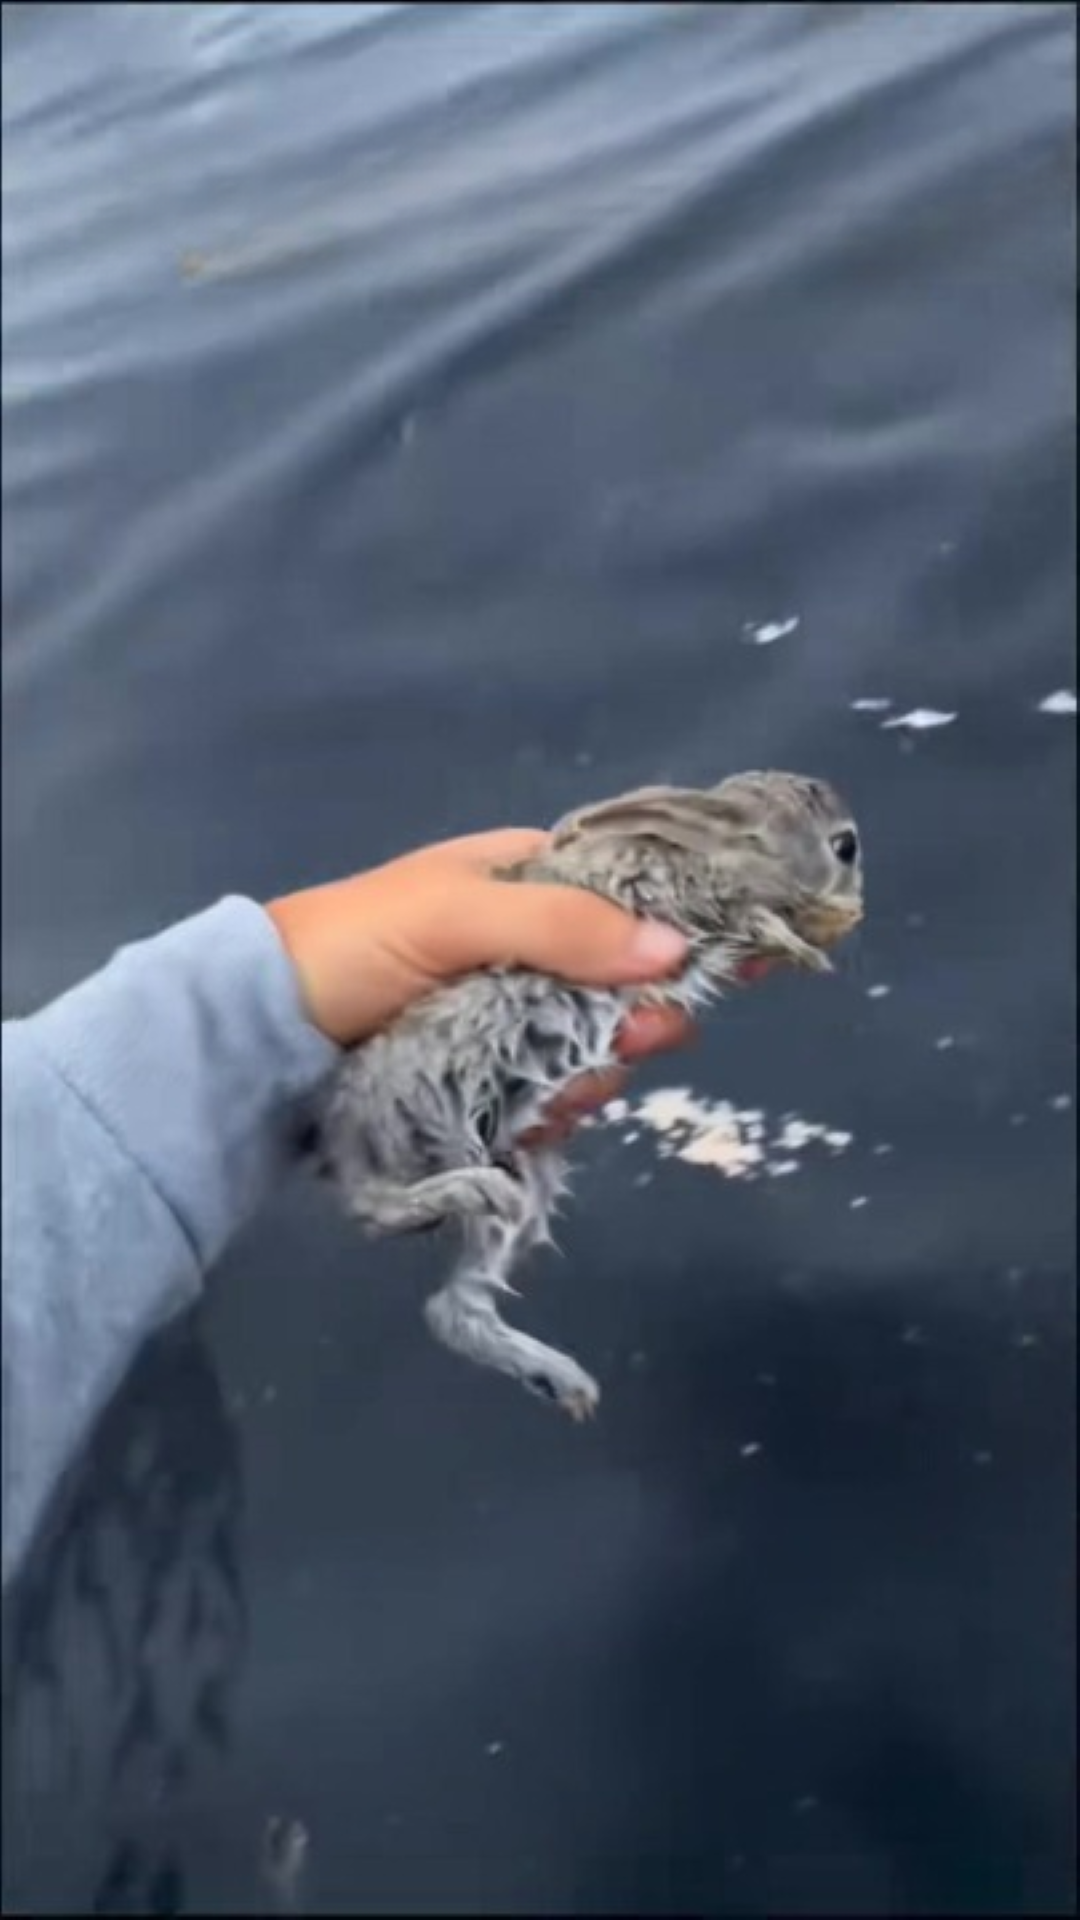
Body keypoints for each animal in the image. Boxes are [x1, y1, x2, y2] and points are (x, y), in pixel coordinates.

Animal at [313, 770, 863, 1420]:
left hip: (523, 1179)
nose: (857, 898)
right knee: (371, 1209)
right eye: (845, 847)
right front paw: (804, 944)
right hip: (413, 1111)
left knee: (452, 1307)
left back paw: (566, 1385)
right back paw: (475, 1191)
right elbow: (746, 914)